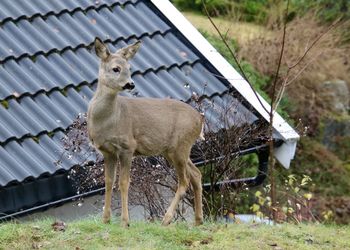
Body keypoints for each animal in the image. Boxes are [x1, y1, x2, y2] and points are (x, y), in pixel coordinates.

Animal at [86, 38, 205, 228]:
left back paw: (166, 219)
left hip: (181, 146)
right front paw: (105, 219)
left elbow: (124, 182)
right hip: (173, 150)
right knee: (196, 174)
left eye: (129, 67)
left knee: (184, 180)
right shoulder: (107, 151)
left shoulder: (128, 146)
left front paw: (125, 222)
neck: (109, 120)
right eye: (116, 68)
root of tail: (200, 120)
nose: (130, 84)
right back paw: (198, 221)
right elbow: (109, 182)